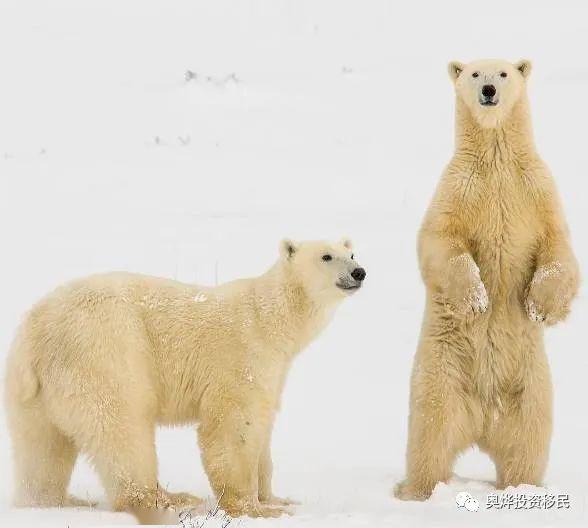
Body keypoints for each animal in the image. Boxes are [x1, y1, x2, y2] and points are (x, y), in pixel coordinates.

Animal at [4, 240, 366, 520]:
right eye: (326, 256)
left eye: (352, 253)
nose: (359, 272)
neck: (269, 318)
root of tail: (37, 332)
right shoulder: (241, 356)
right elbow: (233, 426)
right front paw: (256, 508)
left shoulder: (275, 370)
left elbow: (262, 428)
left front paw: (276, 498)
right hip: (105, 353)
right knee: (123, 428)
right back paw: (169, 499)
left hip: (31, 392)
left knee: (41, 447)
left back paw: (59, 500)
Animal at [396, 59, 580, 502]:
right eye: (475, 74)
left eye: (504, 73)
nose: (489, 91)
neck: (497, 159)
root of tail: (482, 420)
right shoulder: (458, 188)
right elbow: (440, 240)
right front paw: (477, 298)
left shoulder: (537, 189)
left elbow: (559, 248)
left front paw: (539, 306)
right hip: (442, 372)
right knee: (430, 435)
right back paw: (416, 490)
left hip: (530, 384)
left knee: (528, 440)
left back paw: (523, 487)